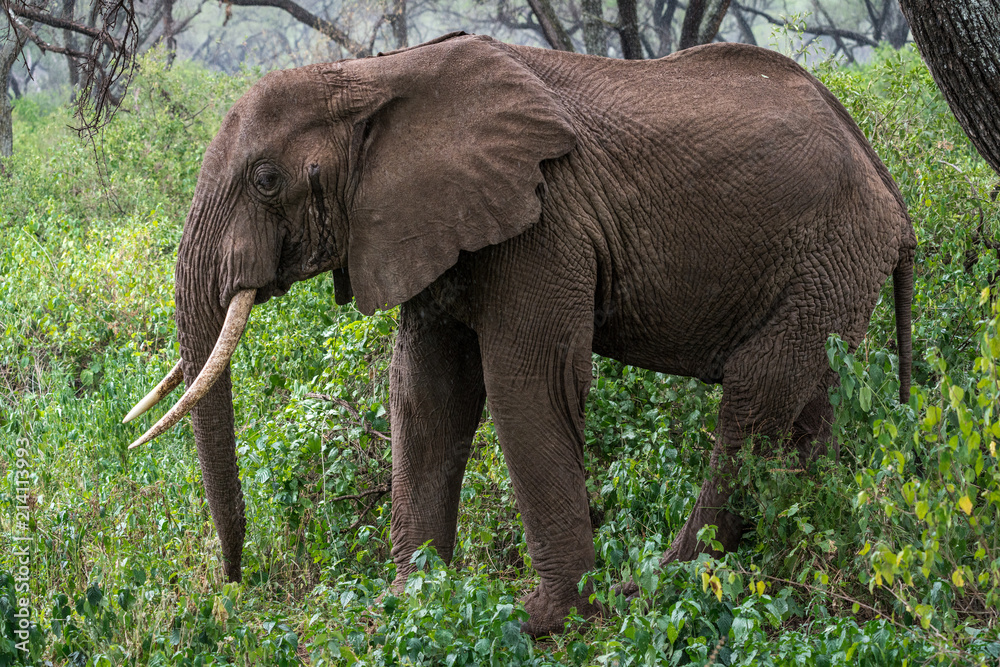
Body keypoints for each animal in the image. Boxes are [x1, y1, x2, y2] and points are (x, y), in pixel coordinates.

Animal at [123, 31, 916, 636]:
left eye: (266, 180)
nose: (235, 586)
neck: (374, 76)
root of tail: (889, 186)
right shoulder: (432, 221)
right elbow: (426, 394)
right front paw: (413, 605)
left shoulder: (545, 218)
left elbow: (524, 384)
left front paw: (543, 621)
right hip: (834, 272)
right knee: (810, 408)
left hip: (831, 251)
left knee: (755, 397)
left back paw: (653, 590)